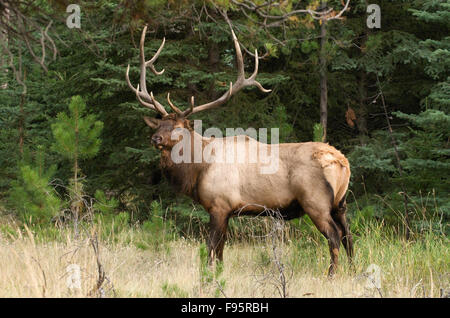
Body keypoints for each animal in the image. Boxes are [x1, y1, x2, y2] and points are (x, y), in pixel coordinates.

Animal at [125, 25, 354, 276]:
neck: (198, 169)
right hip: (340, 203)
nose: (155, 138)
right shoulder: (227, 210)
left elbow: (211, 246)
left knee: (335, 236)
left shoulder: (219, 204)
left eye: (178, 127)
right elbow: (221, 250)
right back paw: (354, 270)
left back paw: (331, 275)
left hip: (316, 201)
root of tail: (343, 162)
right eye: (159, 124)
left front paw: (209, 275)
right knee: (349, 237)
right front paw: (219, 272)